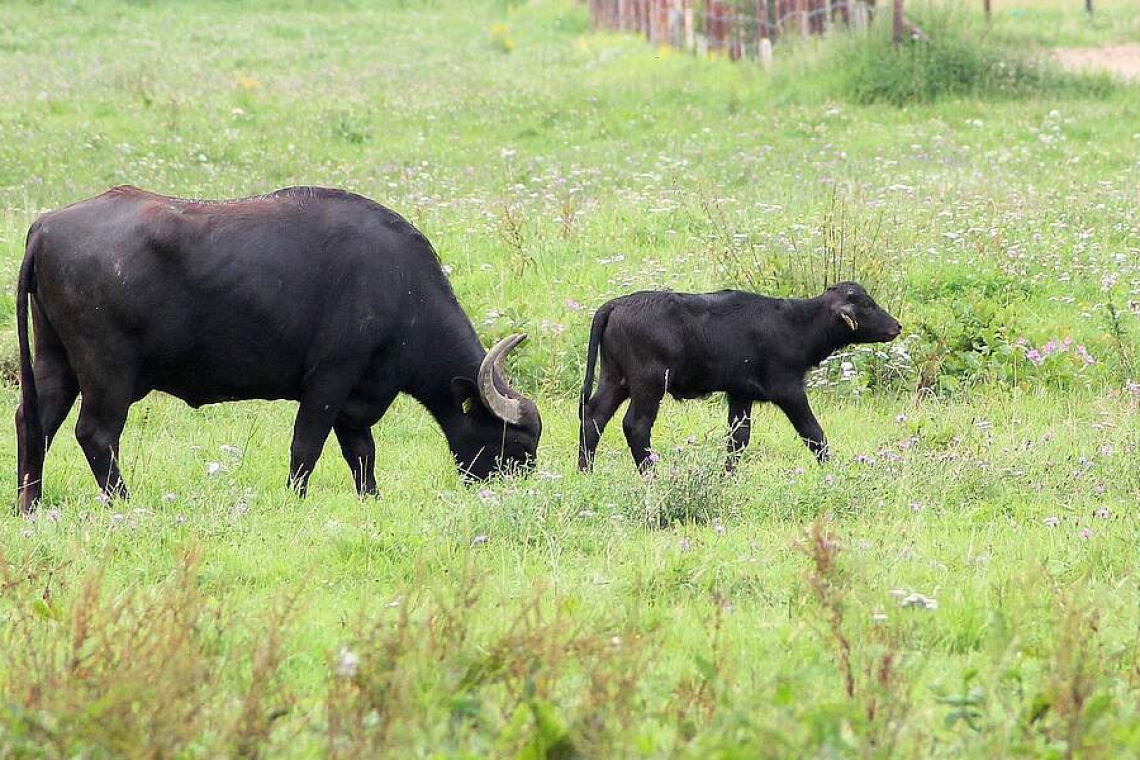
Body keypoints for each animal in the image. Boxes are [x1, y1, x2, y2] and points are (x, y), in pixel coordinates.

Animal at [16, 186, 542, 515]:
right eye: (515, 443)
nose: (522, 490)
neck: (398, 286)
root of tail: (45, 226)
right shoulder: (330, 379)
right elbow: (306, 446)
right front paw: (296, 501)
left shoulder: (354, 398)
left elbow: (362, 455)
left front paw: (371, 501)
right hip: (107, 373)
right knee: (96, 434)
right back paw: (125, 503)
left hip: (55, 361)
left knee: (35, 422)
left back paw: (30, 505)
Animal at [579, 283, 898, 471]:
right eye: (867, 305)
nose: (897, 326)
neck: (796, 324)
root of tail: (617, 304)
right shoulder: (788, 390)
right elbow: (814, 434)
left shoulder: (740, 393)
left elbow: (738, 439)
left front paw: (728, 476)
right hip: (649, 383)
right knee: (636, 425)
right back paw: (651, 474)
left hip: (615, 379)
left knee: (593, 416)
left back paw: (585, 470)